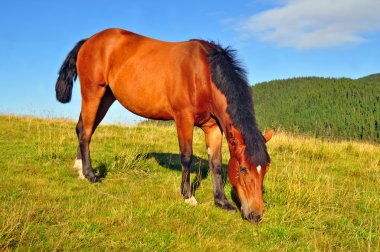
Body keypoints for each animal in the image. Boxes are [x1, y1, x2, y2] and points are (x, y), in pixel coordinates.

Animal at [55, 28, 274, 224]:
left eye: (265, 169)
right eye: (243, 169)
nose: (256, 216)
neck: (203, 73)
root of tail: (89, 41)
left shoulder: (213, 127)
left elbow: (216, 163)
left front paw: (222, 201)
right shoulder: (183, 118)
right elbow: (186, 157)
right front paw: (188, 196)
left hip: (106, 97)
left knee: (83, 128)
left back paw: (79, 169)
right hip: (93, 92)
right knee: (85, 131)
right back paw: (91, 175)